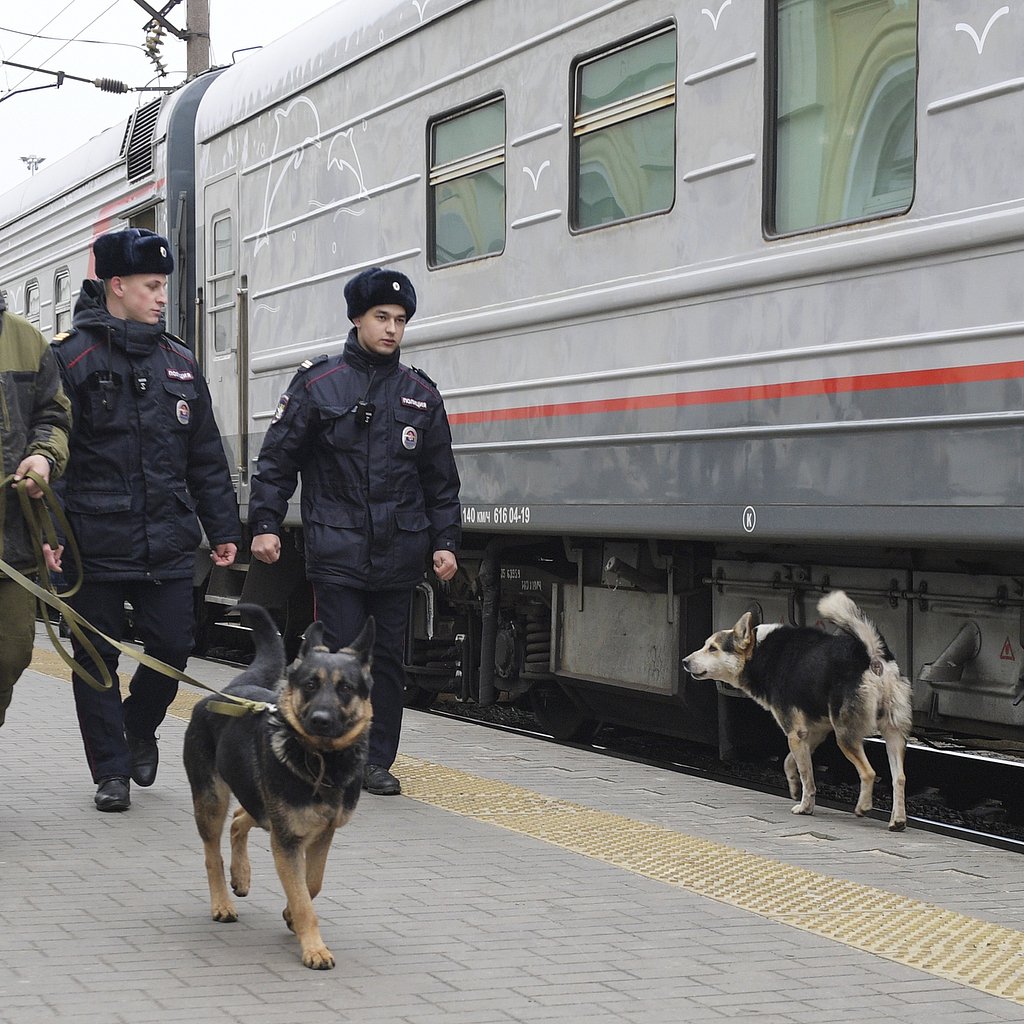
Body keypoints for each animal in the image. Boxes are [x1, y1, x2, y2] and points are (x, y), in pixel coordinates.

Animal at [185, 602, 376, 970]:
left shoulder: (319, 834)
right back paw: (222, 903)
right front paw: (314, 948)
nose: (320, 720)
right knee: (213, 854)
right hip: (212, 802)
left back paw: (241, 875)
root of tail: (231, 688)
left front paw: (291, 916)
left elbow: (311, 884)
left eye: (345, 688)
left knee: (240, 819)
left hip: (262, 807)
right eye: (311, 684)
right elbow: (302, 896)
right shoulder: (287, 840)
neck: (321, 760)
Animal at [679, 593, 913, 831]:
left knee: (869, 772)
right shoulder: (812, 731)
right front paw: (793, 786)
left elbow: (807, 775)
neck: (758, 651)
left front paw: (805, 806)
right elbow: (790, 761)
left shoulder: (794, 732)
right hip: (893, 731)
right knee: (900, 777)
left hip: (845, 735)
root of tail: (871, 655)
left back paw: (863, 807)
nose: (685, 661)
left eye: (713, 648)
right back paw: (898, 820)